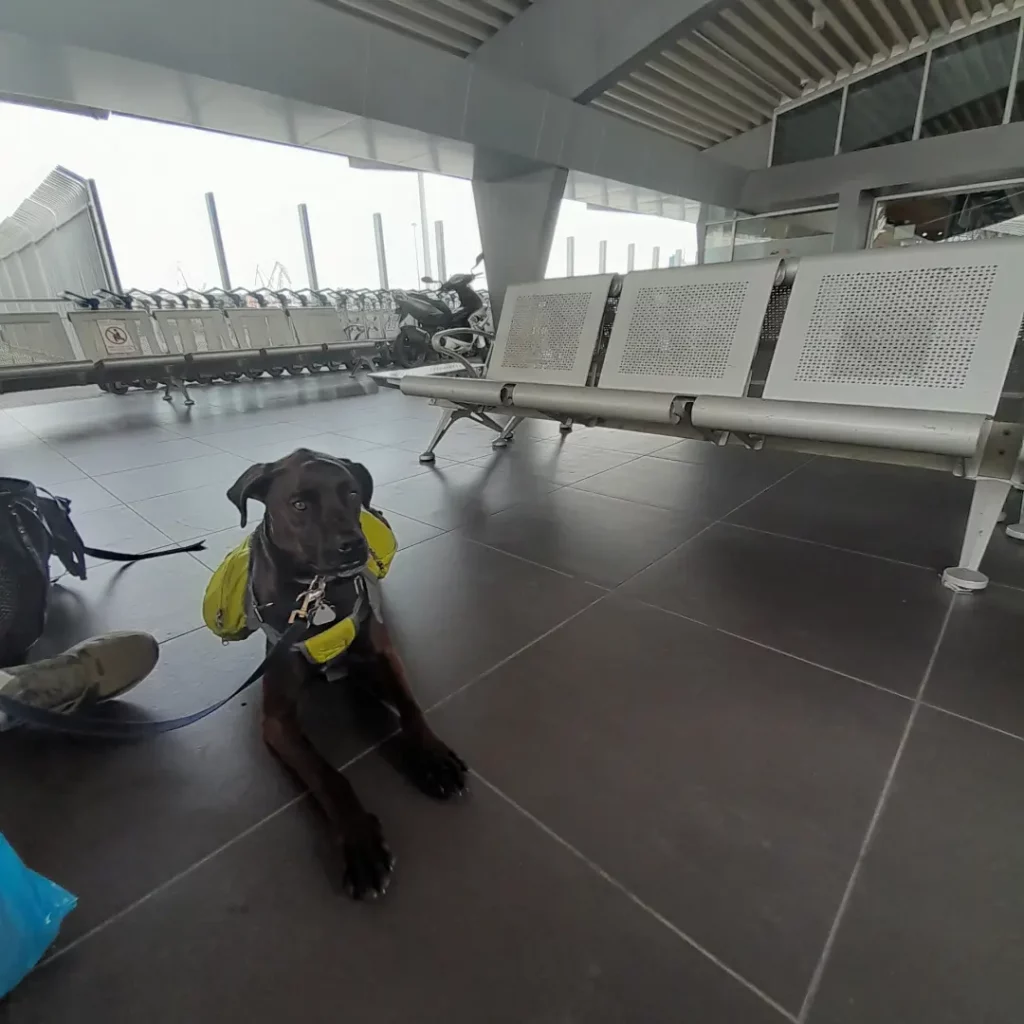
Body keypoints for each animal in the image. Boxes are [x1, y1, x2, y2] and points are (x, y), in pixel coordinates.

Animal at [228, 448, 468, 897]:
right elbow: (328, 776)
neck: (317, 593)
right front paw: (361, 842)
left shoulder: (384, 655)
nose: (354, 547)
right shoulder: (277, 721)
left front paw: (432, 757)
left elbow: (411, 709)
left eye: (352, 492)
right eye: (299, 505)